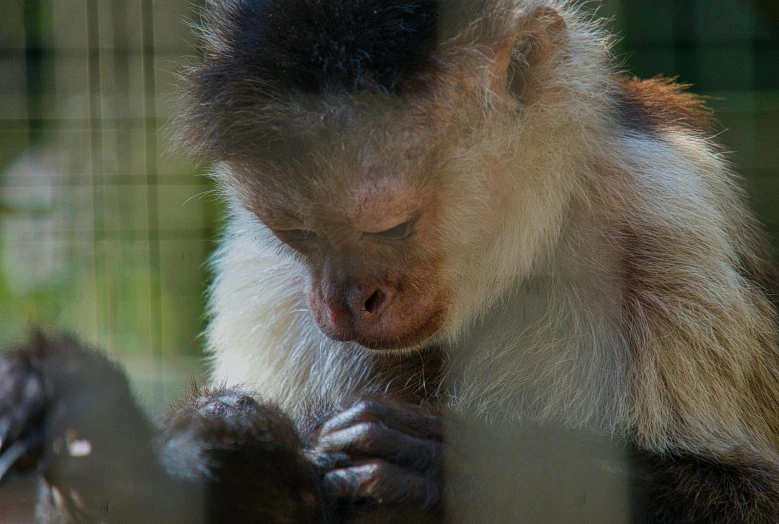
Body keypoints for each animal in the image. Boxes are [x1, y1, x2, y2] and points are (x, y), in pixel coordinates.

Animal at [1, 0, 779, 520]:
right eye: (297, 232)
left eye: (391, 227)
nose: (344, 301)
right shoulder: (262, 276)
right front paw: (171, 455)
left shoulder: (663, 223)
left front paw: (458, 469)